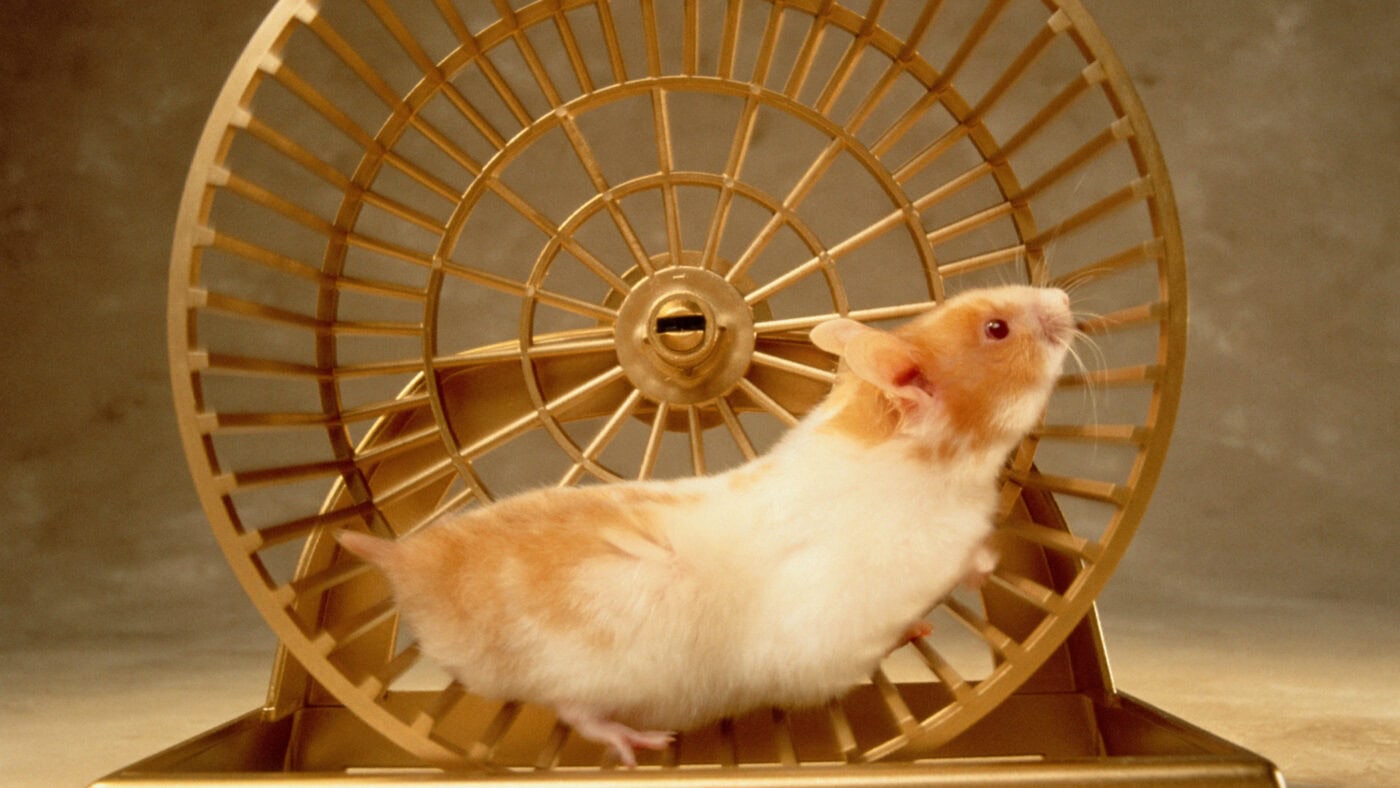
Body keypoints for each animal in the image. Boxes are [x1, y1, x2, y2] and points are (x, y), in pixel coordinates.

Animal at [337, 284, 1077, 766]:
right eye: (997, 330)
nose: (1064, 294)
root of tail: (407, 562)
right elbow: (935, 589)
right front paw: (963, 582)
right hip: (579, 676)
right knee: (576, 712)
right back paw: (639, 743)